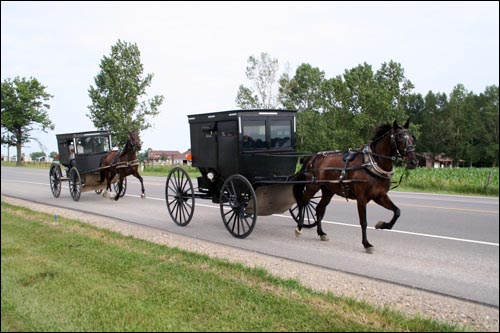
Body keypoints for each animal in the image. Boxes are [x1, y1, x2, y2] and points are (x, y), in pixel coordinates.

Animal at [292, 118, 418, 252]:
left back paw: (321, 233)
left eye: (412, 138)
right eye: (399, 139)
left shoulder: (380, 196)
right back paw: (299, 227)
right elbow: (363, 222)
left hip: (328, 191)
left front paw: (382, 225)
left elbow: (397, 211)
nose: (414, 162)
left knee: (319, 209)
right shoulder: (361, 198)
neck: (372, 163)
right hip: (313, 187)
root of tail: (314, 156)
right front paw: (367, 244)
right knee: (303, 202)